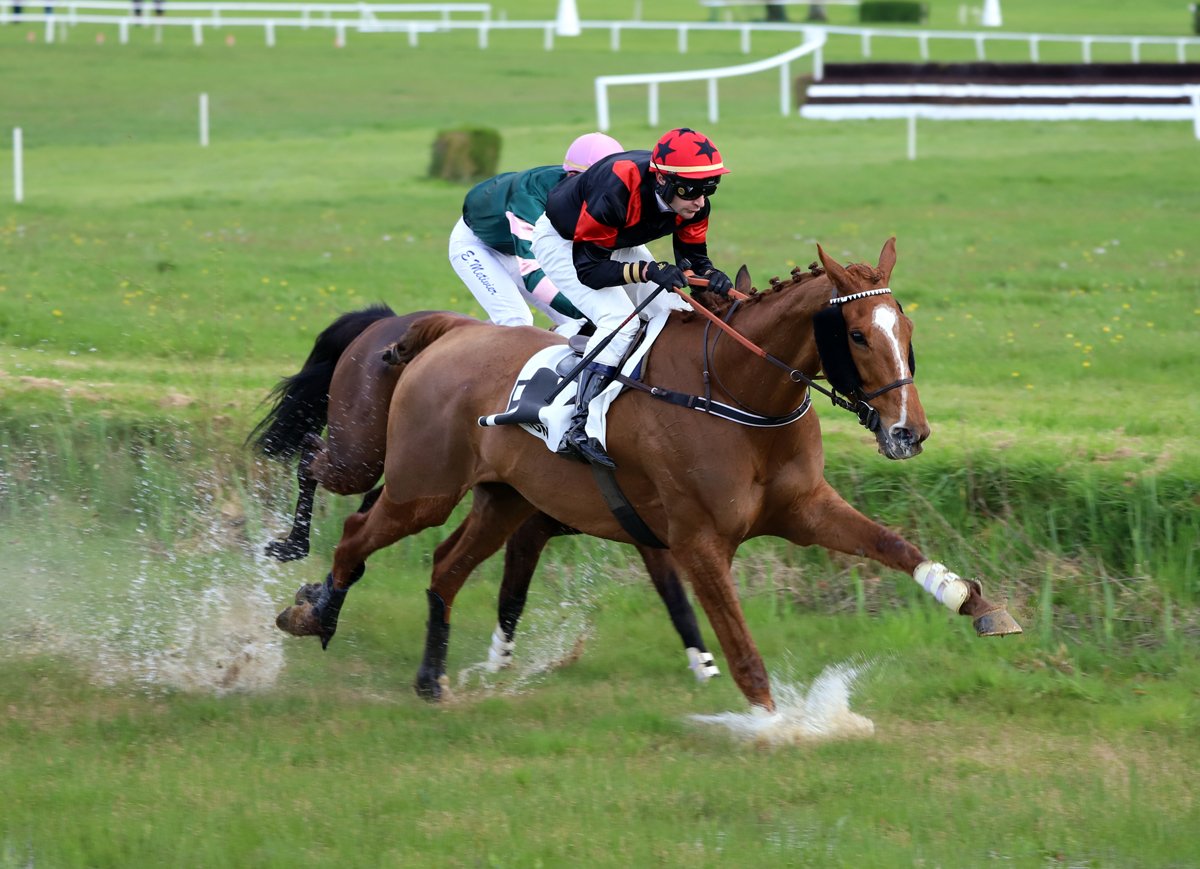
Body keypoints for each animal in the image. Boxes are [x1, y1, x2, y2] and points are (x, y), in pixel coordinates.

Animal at [249, 306, 719, 680]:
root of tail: (387, 319)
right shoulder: (532, 525)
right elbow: (513, 593)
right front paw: (495, 662)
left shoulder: (642, 525)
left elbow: (674, 594)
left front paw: (704, 662)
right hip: (363, 458)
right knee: (313, 455)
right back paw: (293, 547)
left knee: (355, 512)